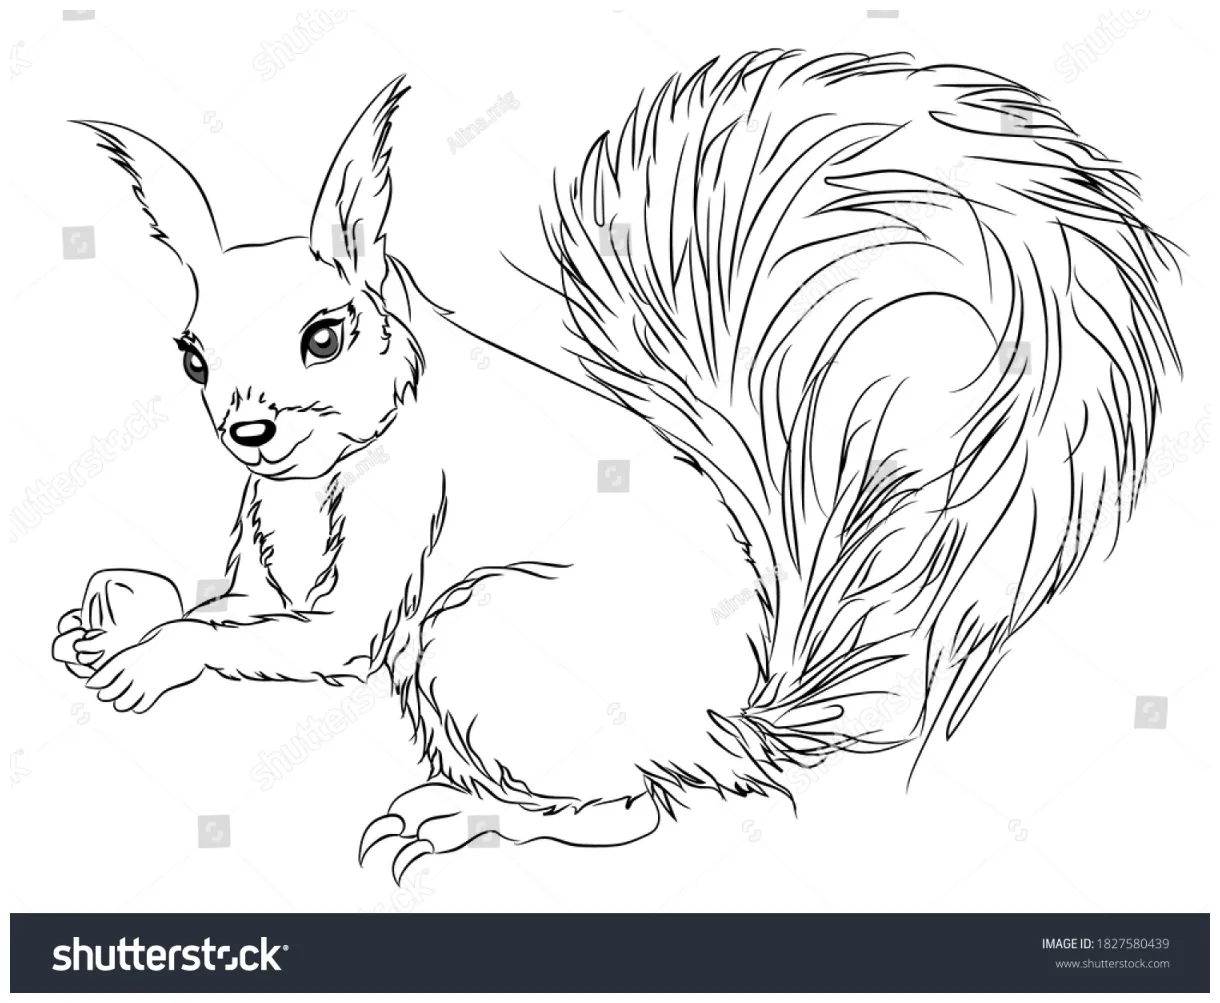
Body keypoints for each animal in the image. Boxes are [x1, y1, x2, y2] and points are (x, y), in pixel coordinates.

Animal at [53, 51, 1179, 885]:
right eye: (191, 357)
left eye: (325, 336)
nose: (249, 433)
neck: (317, 476)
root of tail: (726, 729)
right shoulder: (265, 551)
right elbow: (239, 607)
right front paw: (114, 611)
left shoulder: (409, 514)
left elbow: (332, 631)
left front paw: (153, 657)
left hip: (476, 639)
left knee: (628, 811)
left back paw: (474, 824)